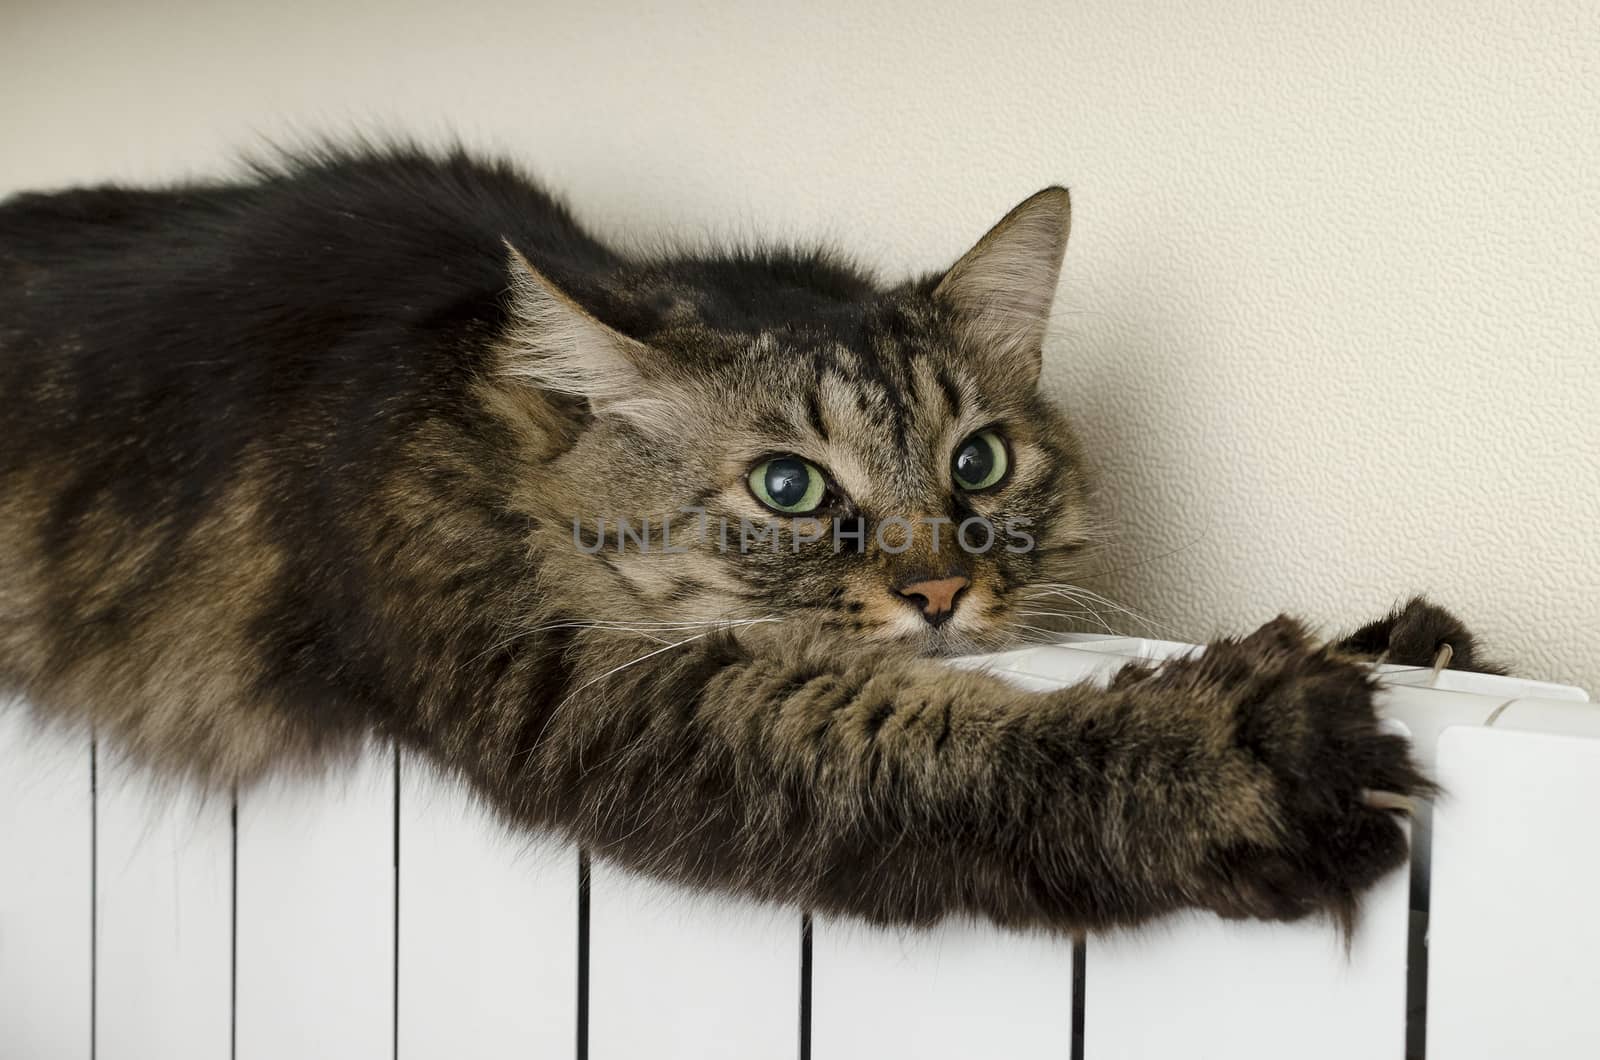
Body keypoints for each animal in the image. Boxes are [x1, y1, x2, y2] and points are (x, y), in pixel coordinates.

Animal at [0, 143, 1491, 941]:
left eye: (978, 460)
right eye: (787, 486)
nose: (939, 588)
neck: (479, 422)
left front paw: (1414, 648)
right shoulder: (598, 685)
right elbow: (934, 745)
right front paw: (1248, 749)